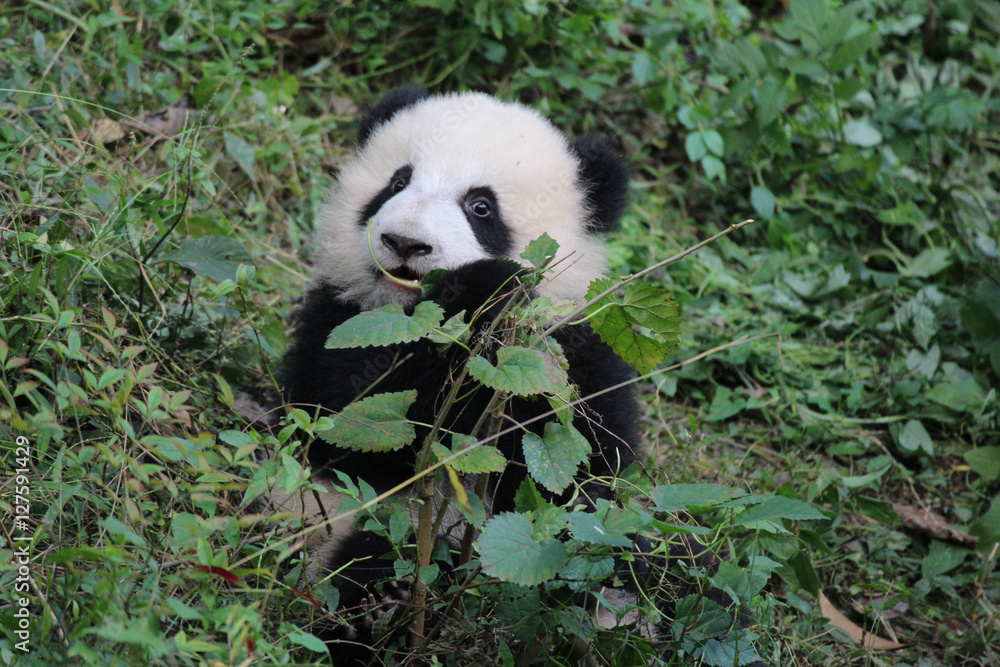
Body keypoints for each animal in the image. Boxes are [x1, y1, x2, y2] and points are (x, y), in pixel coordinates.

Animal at [274, 88, 762, 665]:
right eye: (396, 182)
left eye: (481, 207)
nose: (405, 243)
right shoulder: (339, 324)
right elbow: (350, 418)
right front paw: (483, 288)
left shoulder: (571, 353)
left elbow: (583, 467)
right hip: (350, 524)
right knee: (372, 563)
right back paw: (390, 607)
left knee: (684, 575)